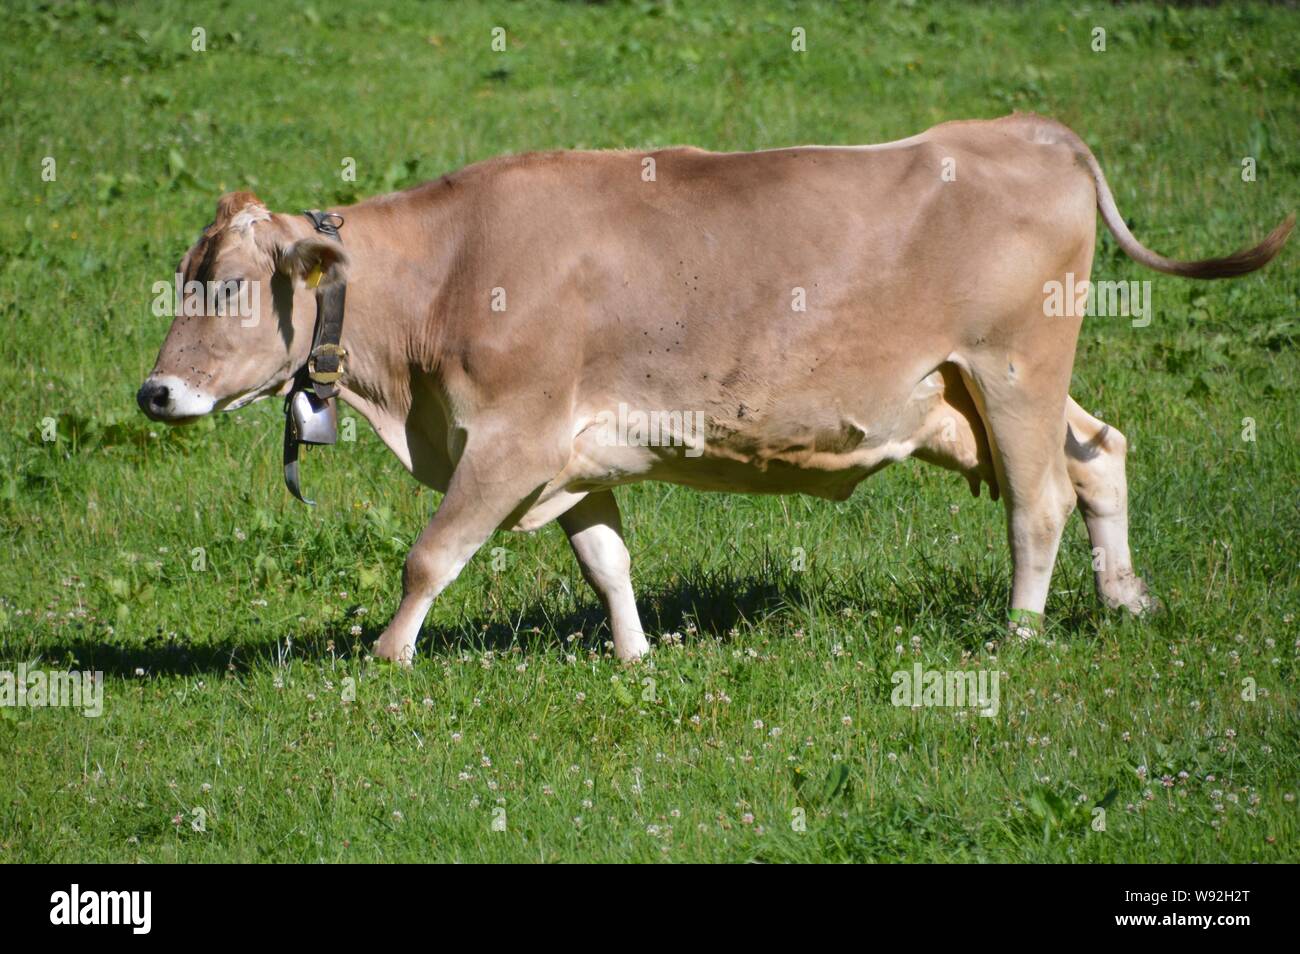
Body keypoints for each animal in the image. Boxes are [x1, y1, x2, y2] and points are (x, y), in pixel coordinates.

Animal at [137, 113, 1294, 665]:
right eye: (185, 275)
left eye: (228, 284)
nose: (154, 394)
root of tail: (1024, 129)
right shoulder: (571, 452)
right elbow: (606, 560)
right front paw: (637, 658)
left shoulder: (510, 438)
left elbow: (432, 555)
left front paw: (385, 660)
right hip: (968, 396)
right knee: (1099, 454)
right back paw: (1125, 599)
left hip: (1013, 368)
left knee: (1040, 499)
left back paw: (1017, 633)